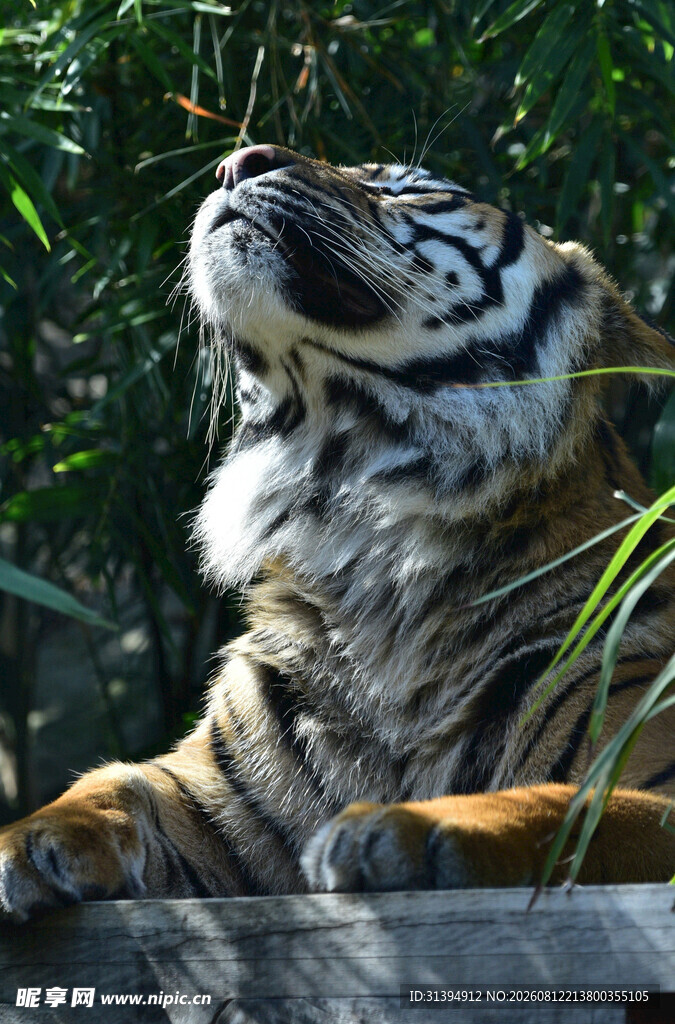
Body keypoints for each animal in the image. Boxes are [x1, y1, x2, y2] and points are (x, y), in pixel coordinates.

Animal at [1, 144, 674, 922]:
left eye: (409, 190)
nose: (237, 160)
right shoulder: (217, 789)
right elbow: (115, 779)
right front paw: (32, 839)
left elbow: (568, 806)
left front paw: (408, 826)